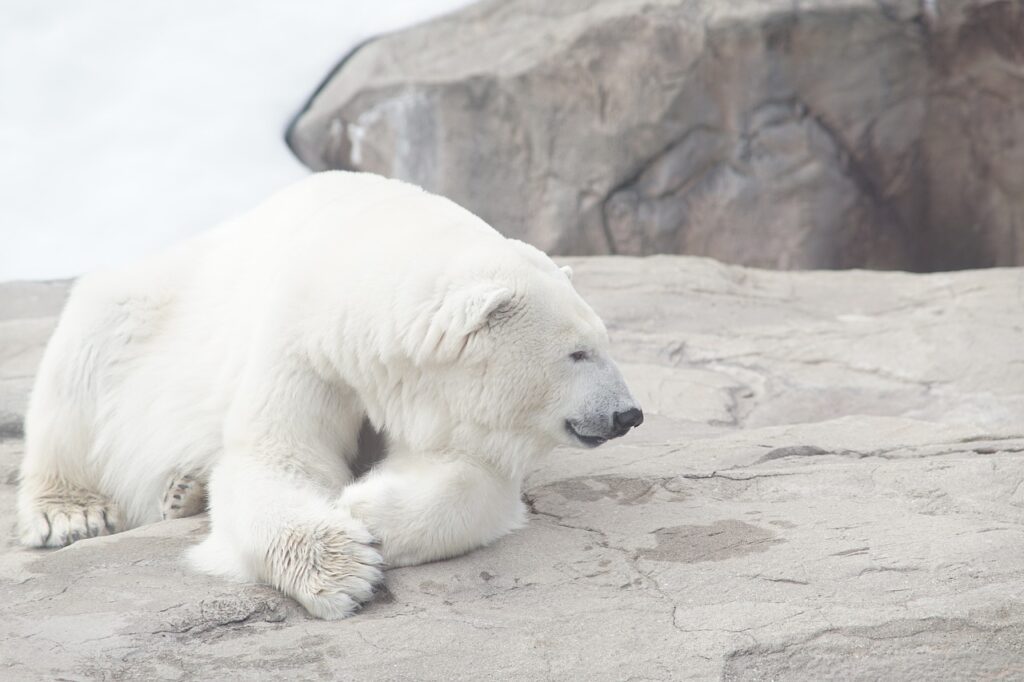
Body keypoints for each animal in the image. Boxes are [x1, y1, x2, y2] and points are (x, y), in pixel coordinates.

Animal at [16, 171, 638, 614]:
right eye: (578, 353)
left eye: (605, 341)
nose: (628, 414)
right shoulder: (304, 345)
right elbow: (277, 457)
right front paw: (342, 566)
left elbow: (471, 472)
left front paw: (366, 508)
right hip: (141, 311)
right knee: (82, 364)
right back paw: (72, 513)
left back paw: (184, 491)